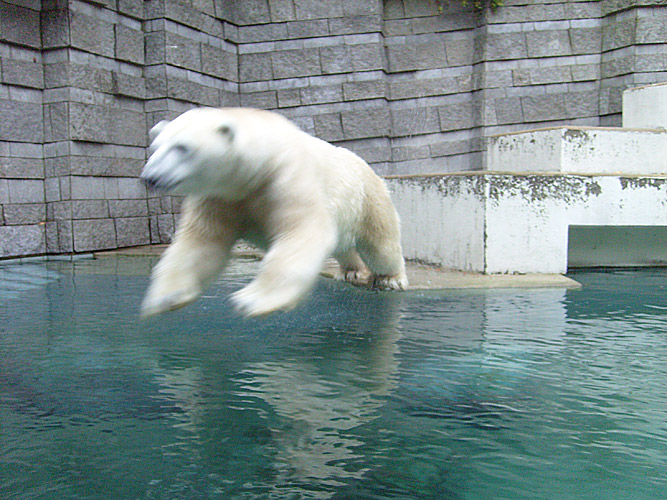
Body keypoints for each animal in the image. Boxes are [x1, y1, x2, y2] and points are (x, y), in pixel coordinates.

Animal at [141, 106, 408, 316]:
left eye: (182, 147)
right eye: (155, 147)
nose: (150, 178)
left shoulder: (287, 176)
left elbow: (303, 232)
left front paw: (252, 300)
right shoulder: (219, 197)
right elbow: (200, 242)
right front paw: (166, 297)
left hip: (368, 200)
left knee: (381, 245)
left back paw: (391, 279)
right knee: (344, 246)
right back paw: (350, 272)